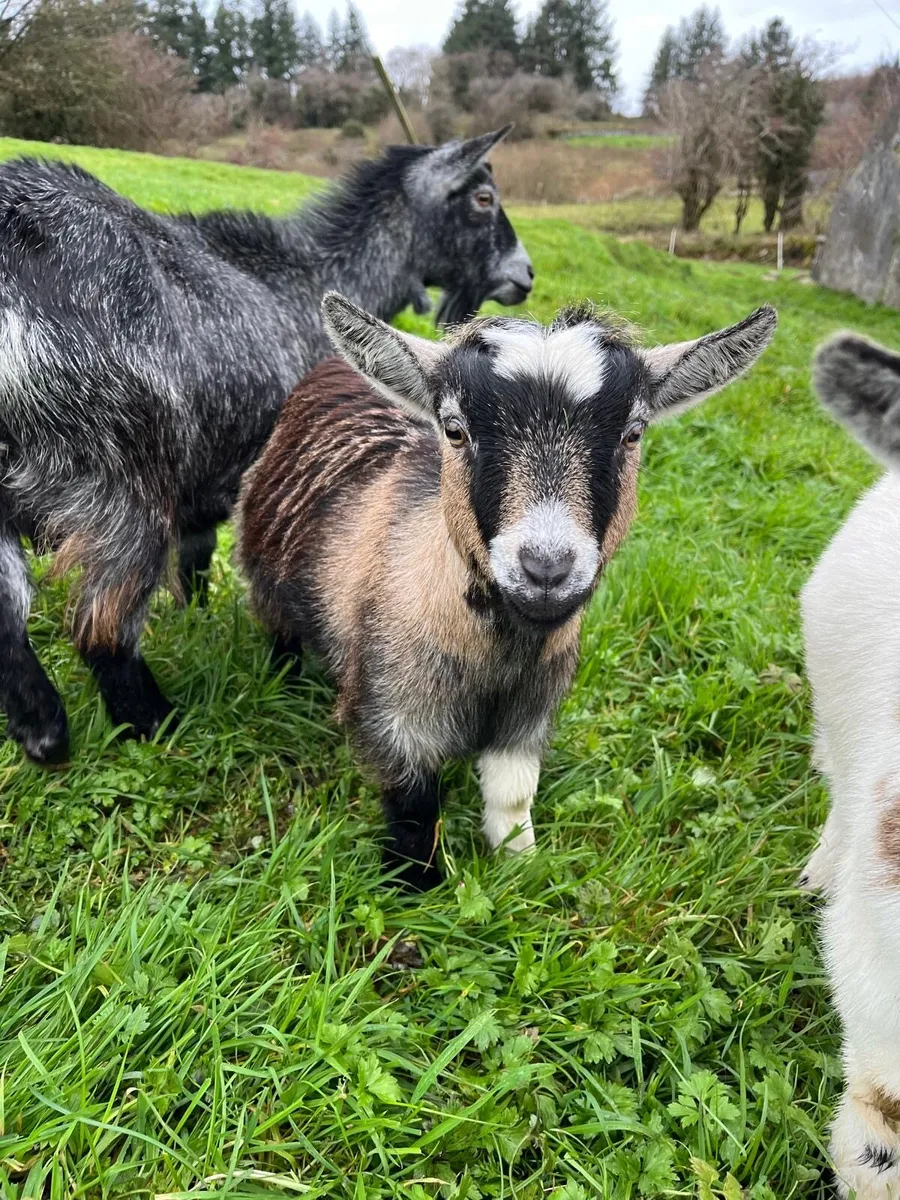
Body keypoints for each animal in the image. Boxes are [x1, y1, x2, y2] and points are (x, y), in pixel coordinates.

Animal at [0, 128, 533, 765]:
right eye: (482, 197)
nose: (525, 275)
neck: (308, 277)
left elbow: (196, 558)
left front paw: (196, 614)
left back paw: (45, 736)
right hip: (122, 474)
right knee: (104, 625)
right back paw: (156, 724)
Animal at [237, 292, 777, 890]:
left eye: (633, 432)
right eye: (454, 429)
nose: (546, 569)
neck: (499, 657)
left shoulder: (528, 715)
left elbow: (513, 800)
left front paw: (522, 872)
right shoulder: (392, 713)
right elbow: (414, 813)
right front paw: (414, 889)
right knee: (278, 627)